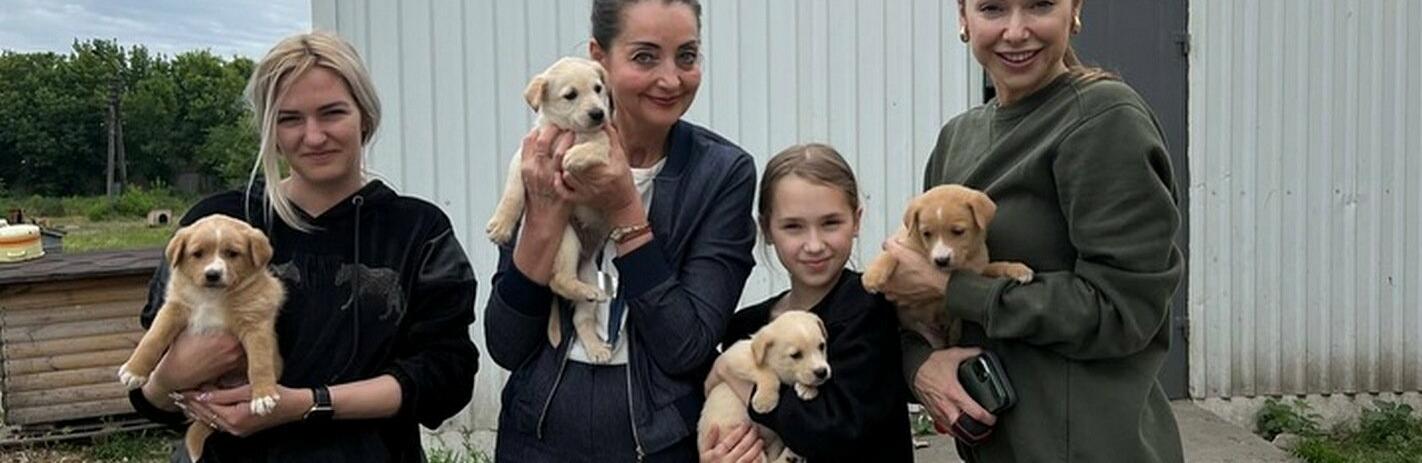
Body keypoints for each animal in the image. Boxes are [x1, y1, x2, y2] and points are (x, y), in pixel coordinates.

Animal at [117, 214, 285, 461]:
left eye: (232, 253)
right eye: (197, 254)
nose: (212, 274)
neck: (212, 296)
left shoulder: (256, 323)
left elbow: (260, 362)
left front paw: (263, 395)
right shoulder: (174, 309)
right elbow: (153, 338)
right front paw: (134, 370)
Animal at [485, 56, 618, 362]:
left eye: (598, 88)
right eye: (570, 95)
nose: (598, 114)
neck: (570, 131)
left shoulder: (608, 148)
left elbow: (596, 145)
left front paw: (575, 156)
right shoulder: (523, 158)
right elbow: (512, 193)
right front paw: (501, 225)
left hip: (587, 268)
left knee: (579, 313)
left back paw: (595, 344)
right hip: (566, 239)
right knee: (559, 281)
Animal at [699, 311, 831, 463]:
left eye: (821, 346)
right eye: (796, 355)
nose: (822, 372)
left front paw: (808, 389)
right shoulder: (738, 357)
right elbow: (766, 373)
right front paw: (765, 401)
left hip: (773, 442)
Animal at [862, 184, 1034, 349]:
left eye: (958, 231)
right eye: (926, 233)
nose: (941, 260)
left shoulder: (978, 269)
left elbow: (997, 265)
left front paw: (1018, 269)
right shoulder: (902, 242)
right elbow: (890, 254)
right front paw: (872, 276)